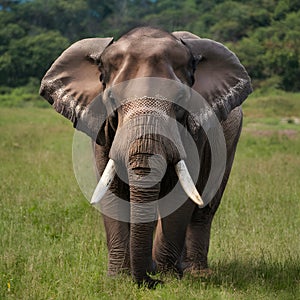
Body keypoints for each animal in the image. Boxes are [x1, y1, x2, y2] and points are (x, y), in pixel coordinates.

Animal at [39, 27, 251, 288]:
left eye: (181, 99)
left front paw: (168, 278)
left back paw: (195, 273)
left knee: (205, 206)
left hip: (231, 140)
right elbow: (113, 192)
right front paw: (119, 279)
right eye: (111, 98)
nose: (152, 281)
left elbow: (181, 194)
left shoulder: (195, 132)